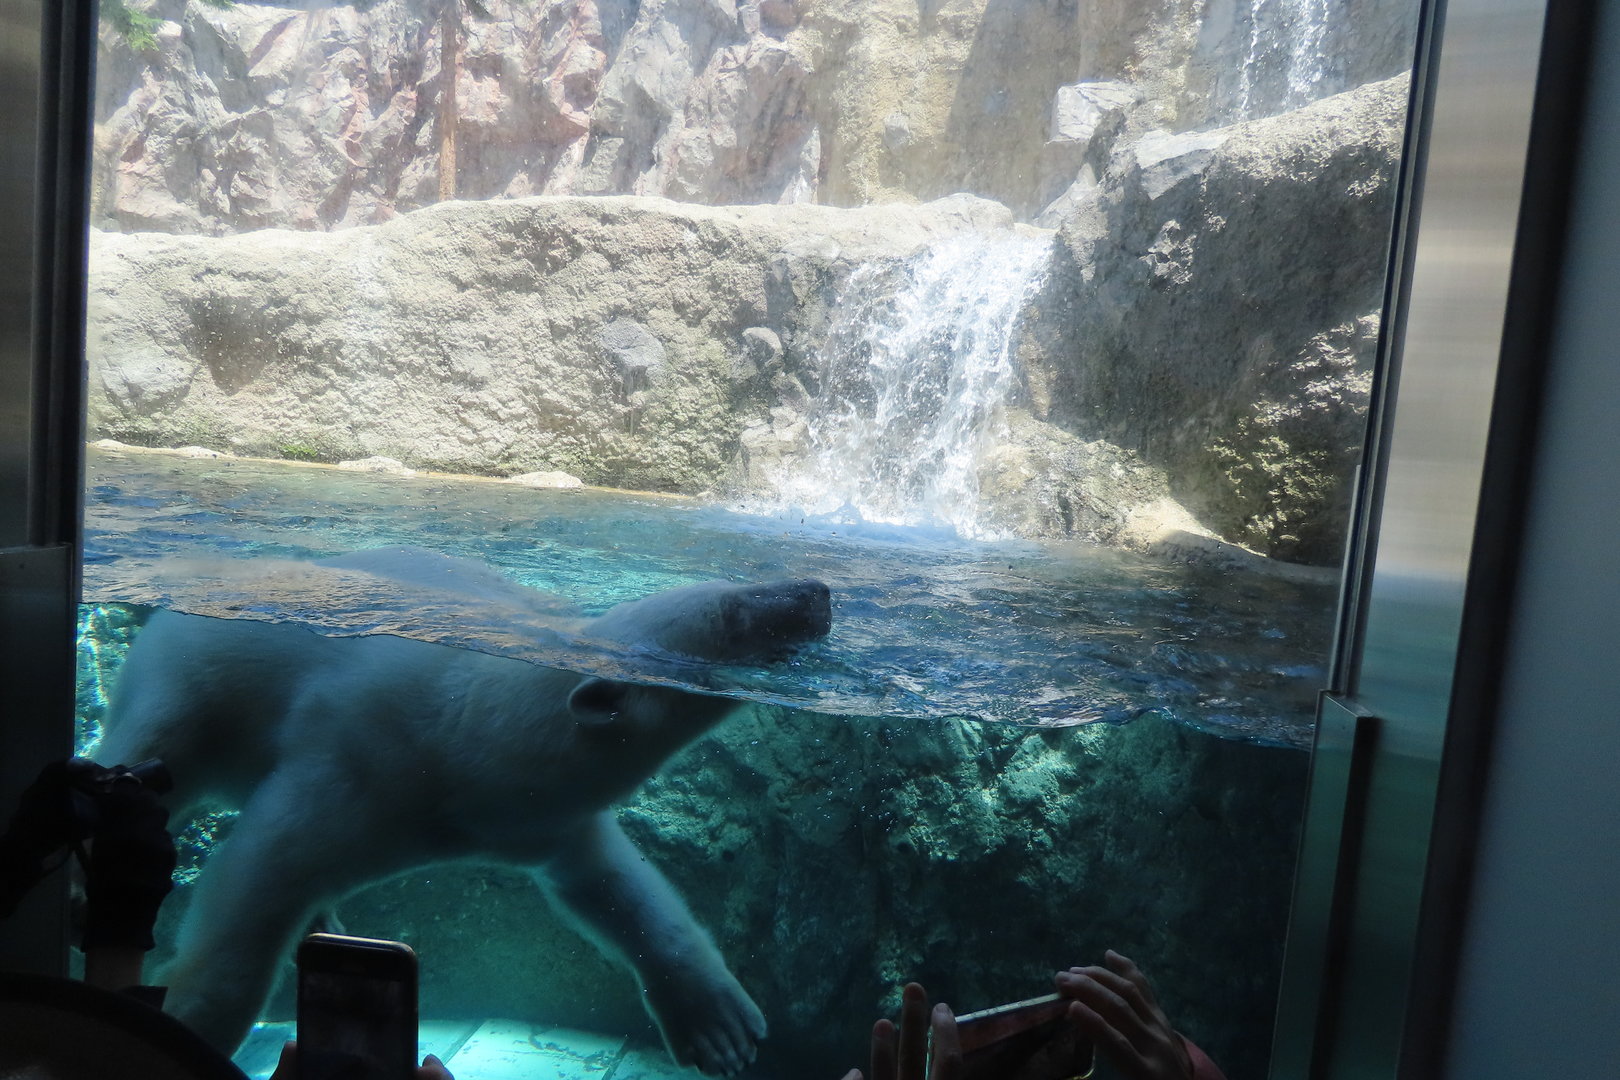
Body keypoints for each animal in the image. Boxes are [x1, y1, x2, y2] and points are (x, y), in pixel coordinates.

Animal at [95, 546, 833, 1077]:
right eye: (733, 611)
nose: (819, 592)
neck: (471, 740)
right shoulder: (356, 769)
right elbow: (258, 880)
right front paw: (189, 1020)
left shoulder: (539, 820)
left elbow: (619, 889)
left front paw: (719, 1027)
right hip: (183, 683)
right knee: (153, 753)